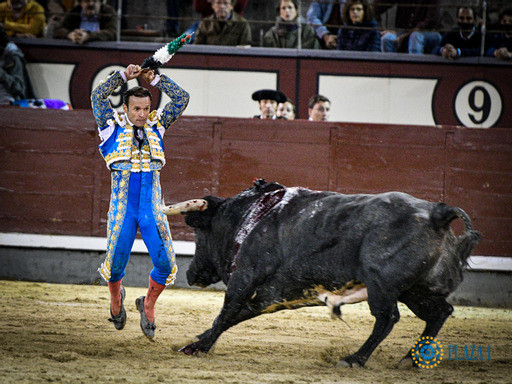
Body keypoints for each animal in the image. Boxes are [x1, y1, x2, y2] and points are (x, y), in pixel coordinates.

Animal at [165, 180, 480, 366]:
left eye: (199, 235)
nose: (191, 274)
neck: (248, 217)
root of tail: (437, 213)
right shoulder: (269, 295)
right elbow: (235, 315)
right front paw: (200, 339)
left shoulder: (245, 278)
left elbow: (227, 312)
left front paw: (195, 346)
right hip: (415, 290)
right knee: (439, 312)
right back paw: (411, 360)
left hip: (382, 284)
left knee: (387, 318)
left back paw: (355, 358)